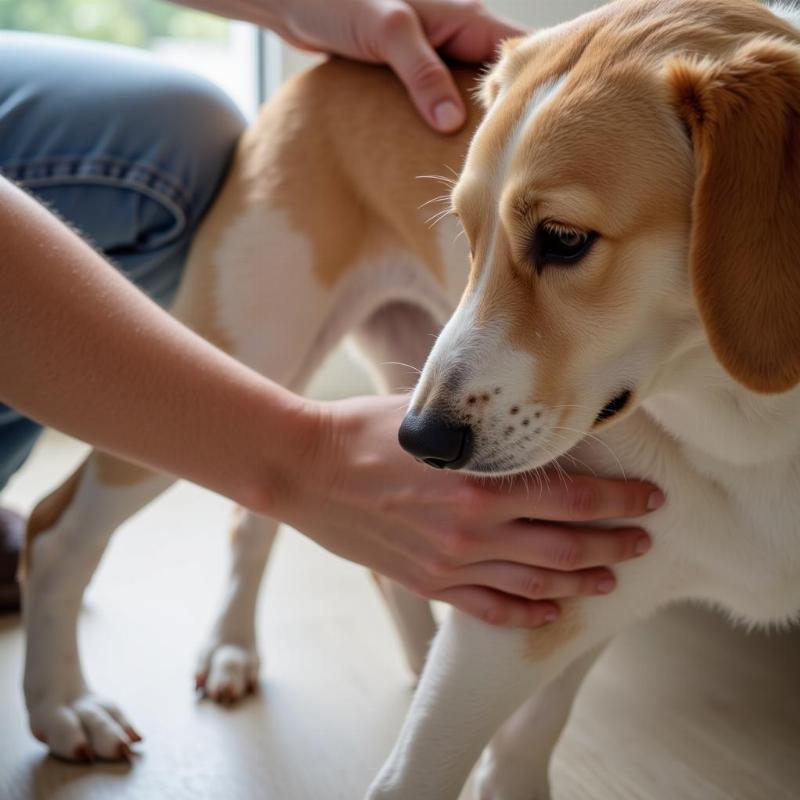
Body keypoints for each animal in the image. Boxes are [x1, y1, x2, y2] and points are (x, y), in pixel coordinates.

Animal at [21, 1, 800, 800]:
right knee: (57, 528)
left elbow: (524, 743)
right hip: (235, 350)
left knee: (266, 511)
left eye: (563, 238)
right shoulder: (518, 610)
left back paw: (247, 647)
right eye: (467, 232)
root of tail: (329, 68)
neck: (755, 432)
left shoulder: (572, 591)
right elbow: (417, 772)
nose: (421, 442)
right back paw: (66, 706)